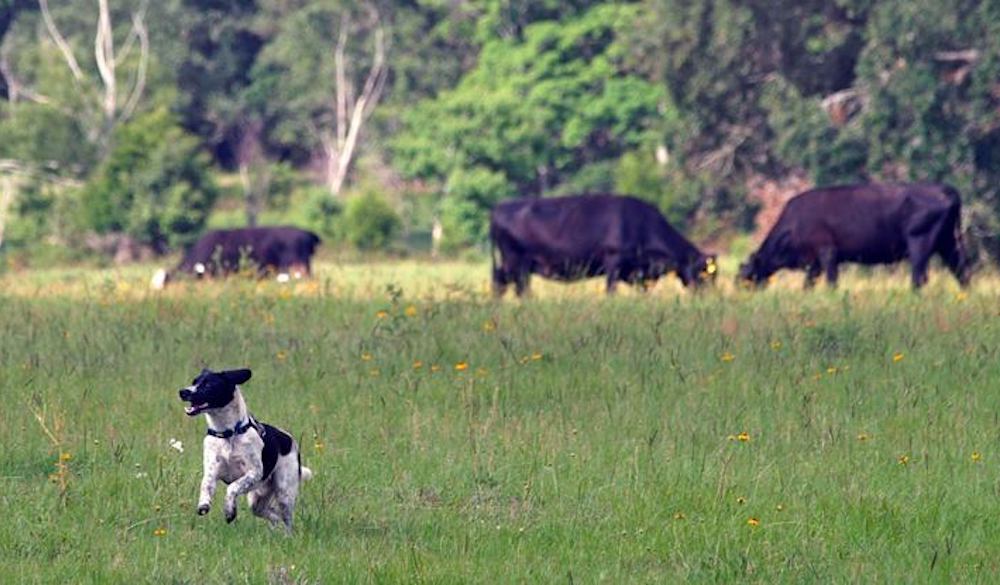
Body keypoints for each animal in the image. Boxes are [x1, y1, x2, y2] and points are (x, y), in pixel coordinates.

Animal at [179, 368, 312, 532]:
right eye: (194, 382)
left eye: (208, 385)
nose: (183, 392)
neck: (228, 433)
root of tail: (288, 438)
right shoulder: (212, 470)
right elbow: (206, 485)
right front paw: (204, 503)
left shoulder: (254, 473)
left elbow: (232, 487)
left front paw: (230, 511)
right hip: (257, 499)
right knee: (273, 516)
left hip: (284, 492)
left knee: (286, 520)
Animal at [488, 195, 716, 296]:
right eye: (704, 273)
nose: (708, 297)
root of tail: (499, 207)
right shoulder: (613, 262)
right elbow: (610, 290)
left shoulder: (635, 272)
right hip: (517, 263)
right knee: (520, 289)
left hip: (513, 265)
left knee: (501, 282)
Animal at [736, 184, 968, 288]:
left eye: (747, 277)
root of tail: (946, 190)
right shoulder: (814, 263)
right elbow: (808, 284)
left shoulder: (827, 253)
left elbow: (831, 281)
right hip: (947, 244)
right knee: (961, 271)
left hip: (920, 244)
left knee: (919, 277)